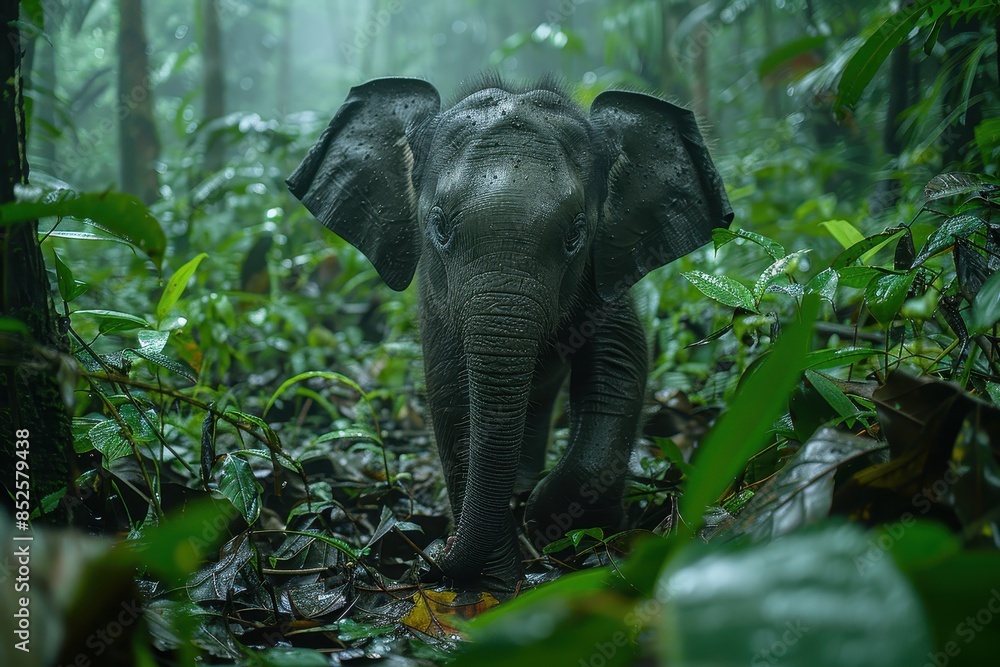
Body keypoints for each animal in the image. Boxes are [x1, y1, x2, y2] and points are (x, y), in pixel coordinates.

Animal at [287, 75, 733, 588]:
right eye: (438, 225)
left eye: (576, 232)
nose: (435, 552)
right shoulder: (434, 301)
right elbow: (451, 396)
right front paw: (496, 585)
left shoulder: (604, 275)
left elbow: (621, 363)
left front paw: (559, 524)